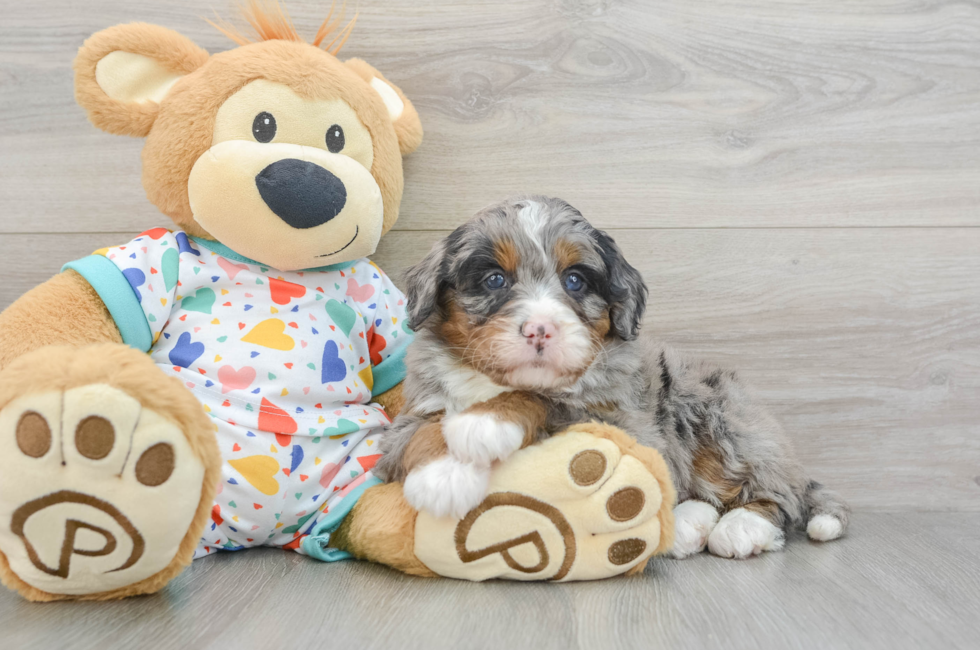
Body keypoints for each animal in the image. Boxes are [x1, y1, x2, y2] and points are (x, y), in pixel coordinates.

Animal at [372, 194, 848, 556]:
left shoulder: (625, 422)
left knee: (778, 493)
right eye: (493, 280)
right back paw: (687, 524)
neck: (499, 382)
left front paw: (485, 423)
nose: (540, 328)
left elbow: (552, 400)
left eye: (575, 280)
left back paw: (741, 526)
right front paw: (441, 476)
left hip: (716, 417)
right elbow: (421, 432)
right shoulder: (412, 412)